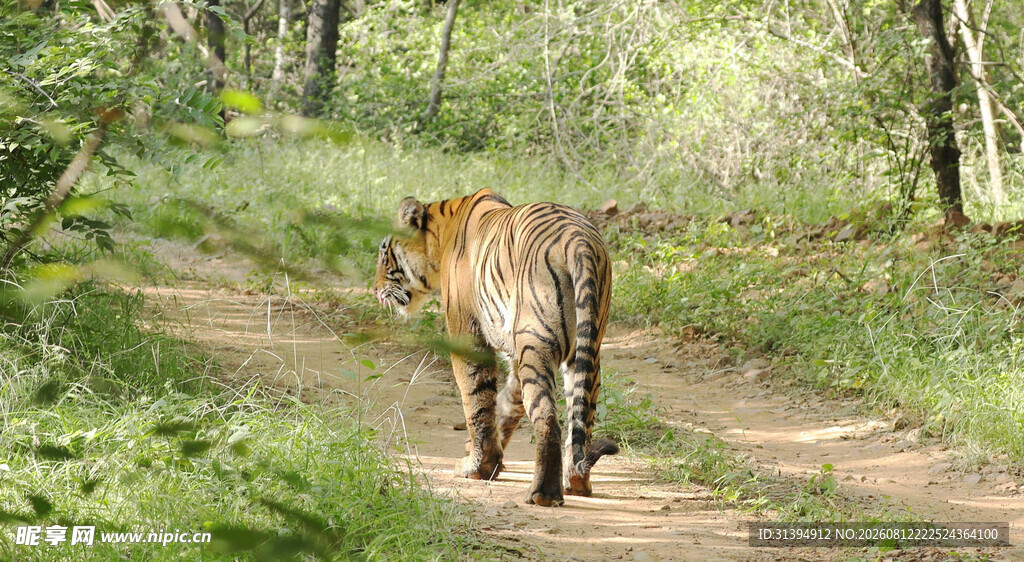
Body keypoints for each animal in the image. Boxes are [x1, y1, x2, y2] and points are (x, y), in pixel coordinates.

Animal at [373, 189, 618, 507]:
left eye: (384, 253)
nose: (375, 288)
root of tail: (580, 241)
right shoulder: (514, 352)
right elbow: (506, 402)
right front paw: (487, 457)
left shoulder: (467, 333)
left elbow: (477, 400)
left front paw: (477, 467)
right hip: (585, 352)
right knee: (580, 419)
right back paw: (576, 483)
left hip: (536, 342)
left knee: (547, 419)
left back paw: (543, 493)